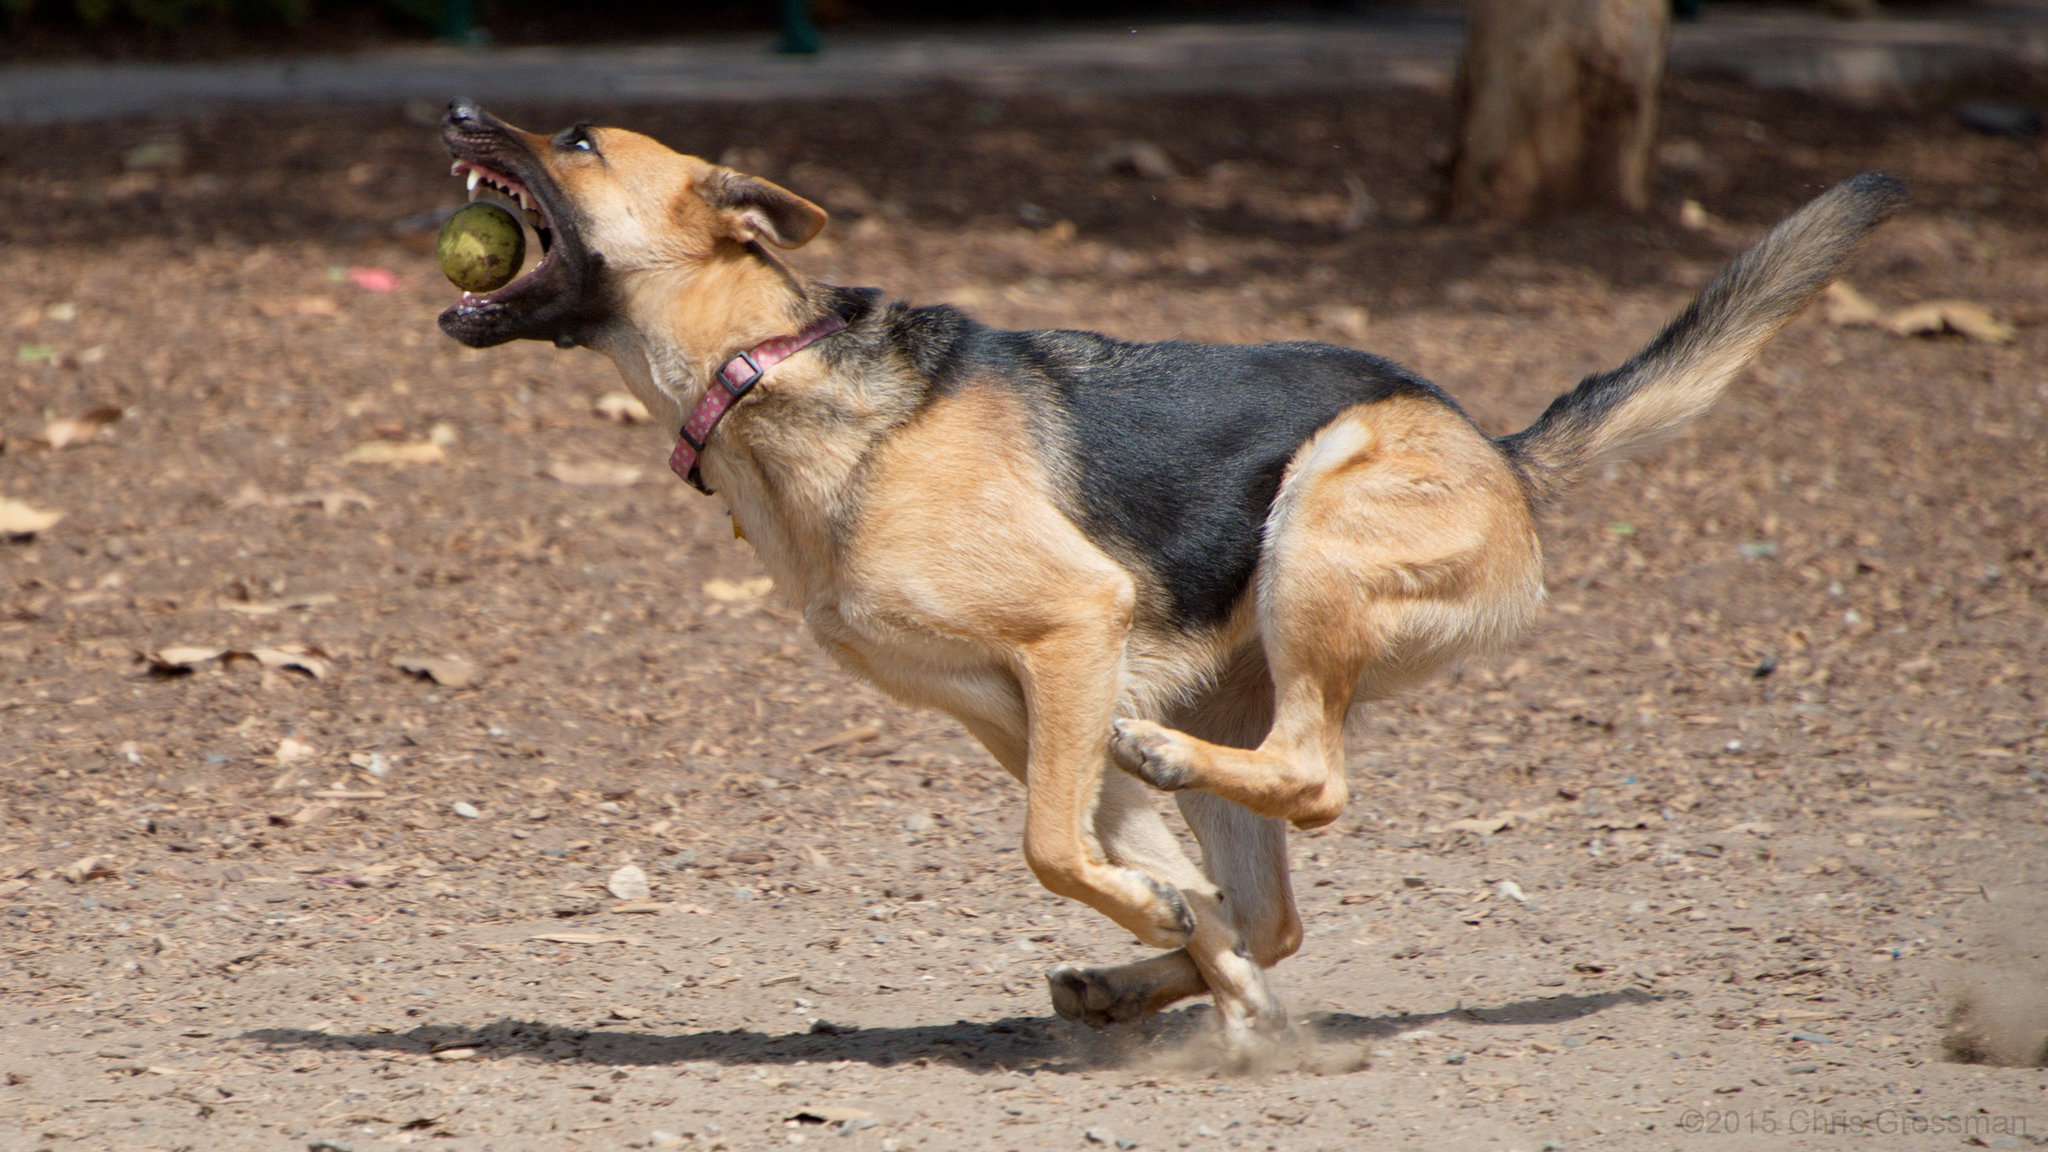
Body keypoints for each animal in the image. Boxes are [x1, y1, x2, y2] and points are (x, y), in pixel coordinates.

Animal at [436, 98, 1900, 1045]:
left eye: (577, 144)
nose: (455, 111)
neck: (768, 367)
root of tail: (1499, 451)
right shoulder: (1013, 710)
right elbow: (1149, 885)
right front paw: (1187, 960)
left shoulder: (1071, 637)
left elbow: (1054, 849)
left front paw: (1162, 934)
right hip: (1228, 667)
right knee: (1265, 900)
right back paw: (1148, 976)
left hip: (1316, 523)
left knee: (1308, 777)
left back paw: (1172, 841)